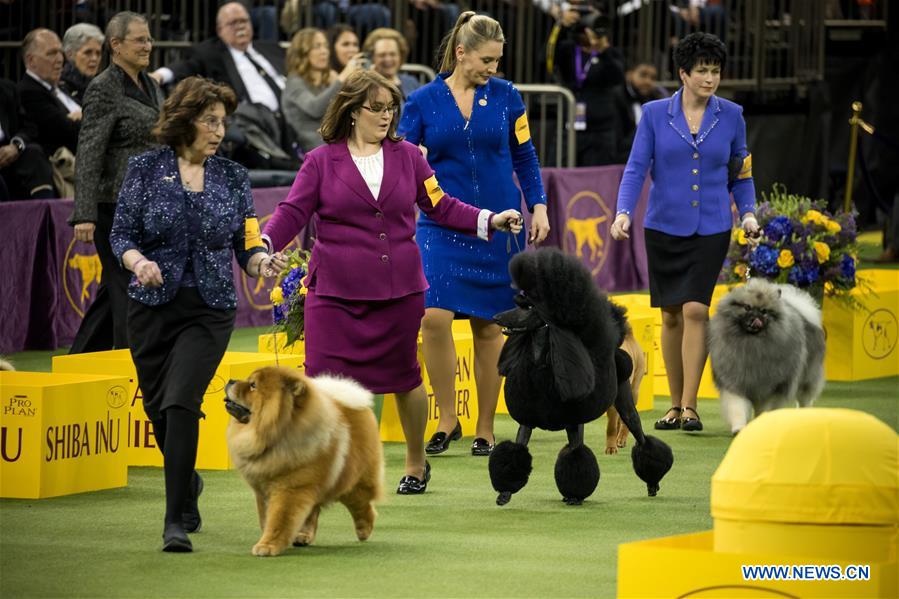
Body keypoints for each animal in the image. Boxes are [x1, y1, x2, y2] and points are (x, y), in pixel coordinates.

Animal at [225, 368, 384, 560]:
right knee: (314, 511)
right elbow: (266, 518)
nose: (231, 381)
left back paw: (364, 530)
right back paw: (303, 536)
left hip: (352, 481)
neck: (273, 438)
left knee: (362, 504)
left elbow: (278, 519)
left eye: (253, 385)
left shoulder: (291, 489)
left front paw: (267, 545)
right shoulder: (263, 489)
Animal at [708, 278, 828, 434]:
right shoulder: (735, 383)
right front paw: (739, 428)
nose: (756, 318)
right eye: (747, 307)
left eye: (764, 311)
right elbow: (738, 407)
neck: (752, 345)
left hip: (807, 378)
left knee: (805, 400)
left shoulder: (770, 386)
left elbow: (764, 408)